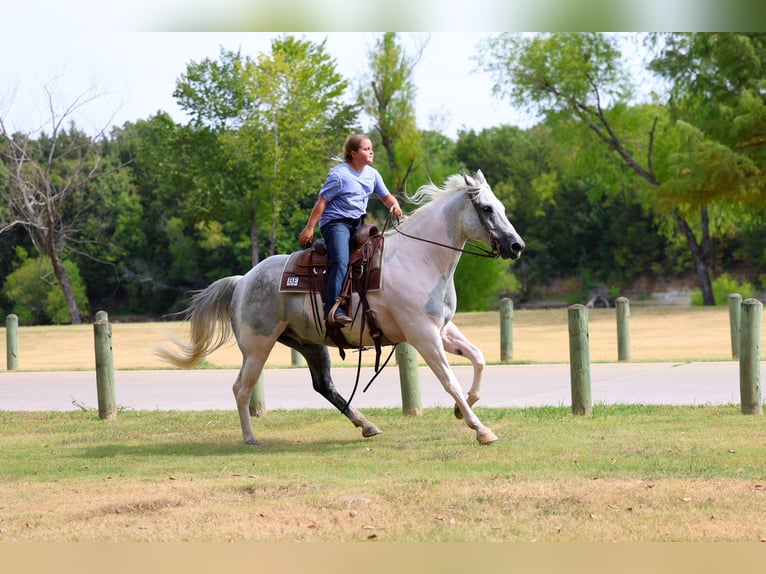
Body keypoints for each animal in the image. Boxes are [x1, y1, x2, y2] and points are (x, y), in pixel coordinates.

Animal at [157, 170, 525, 445]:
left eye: (502, 206)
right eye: (487, 209)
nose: (516, 246)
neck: (420, 258)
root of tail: (244, 280)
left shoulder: (442, 329)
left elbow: (478, 358)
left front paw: (464, 409)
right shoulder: (422, 335)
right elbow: (450, 381)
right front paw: (481, 428)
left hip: (309, 343)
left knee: (324, 386)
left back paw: (366, 424)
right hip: (257, 346)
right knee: (241, 388)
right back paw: (250, 438)